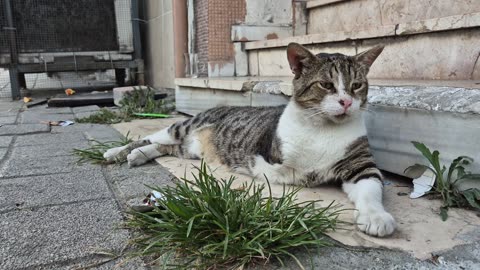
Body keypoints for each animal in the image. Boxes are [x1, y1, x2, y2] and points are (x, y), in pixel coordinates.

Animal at [107, 42, 396, 236]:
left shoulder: (361, 165)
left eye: (356, 85)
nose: (346, 102)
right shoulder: (272, 153)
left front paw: (377, 217)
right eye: (326, 85)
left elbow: (371, 189)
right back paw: (119, 152)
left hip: (191, 149)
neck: (324, 129)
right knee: (153, 137)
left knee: (166, 147)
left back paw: (138, 155)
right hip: (184, 126)